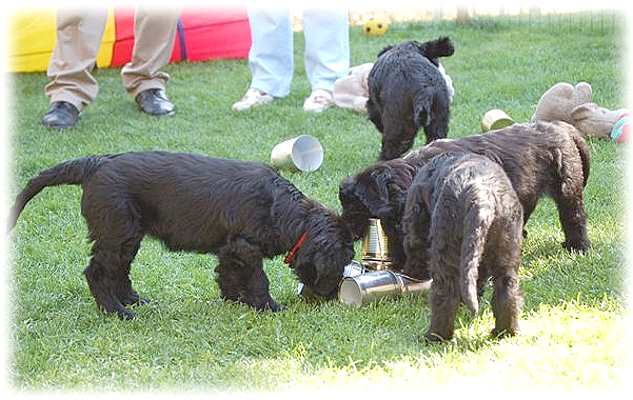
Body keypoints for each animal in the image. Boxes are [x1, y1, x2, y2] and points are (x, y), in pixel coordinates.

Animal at [9, 152, 354, 320]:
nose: (329, 298)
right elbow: (258, 279)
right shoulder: (246, 247)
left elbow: (227, 273)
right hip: (116, 230)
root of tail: (95, 164)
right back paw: (117, 312)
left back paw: (133, 300)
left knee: (119, 270)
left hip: (128, 235)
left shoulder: (230, 248)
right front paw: (268, 306)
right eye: (343, 261)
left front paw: (234, 299)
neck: (285, 210)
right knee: (96, 272)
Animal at [340, 121, 592, 278]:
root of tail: (561, 127)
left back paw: (578, 246)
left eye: (354, 207)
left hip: (566, 187)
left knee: (573, 216)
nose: (346, 229)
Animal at [404, 151, 524, 340]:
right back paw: (505, 332)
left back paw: (435, 336)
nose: (409, 274)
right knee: (506, 288)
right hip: (505, 246)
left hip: (446, 246)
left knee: (445, 291)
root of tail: (481, 197)